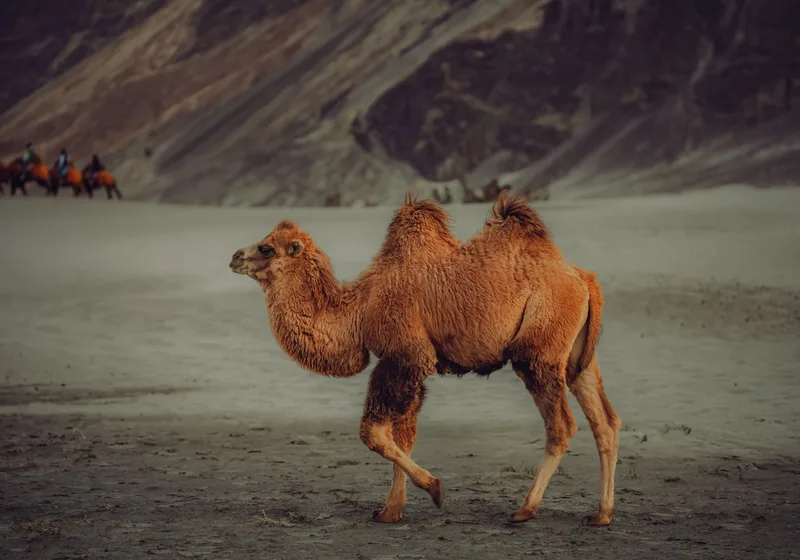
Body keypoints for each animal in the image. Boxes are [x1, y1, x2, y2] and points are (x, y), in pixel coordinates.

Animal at [229, 193, 620, 526]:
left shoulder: (406, 354)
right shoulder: (408, 367)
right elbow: (403, 435)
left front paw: (434, 489)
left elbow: (373, 432)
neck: (359, 310)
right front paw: (391, 510)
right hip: (578, 357)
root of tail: (586, 281)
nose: (234, 257)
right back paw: (601, 514)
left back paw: (525, 509)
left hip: (539, 350)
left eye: (266, 247)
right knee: (605, 421)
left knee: (562, 425)